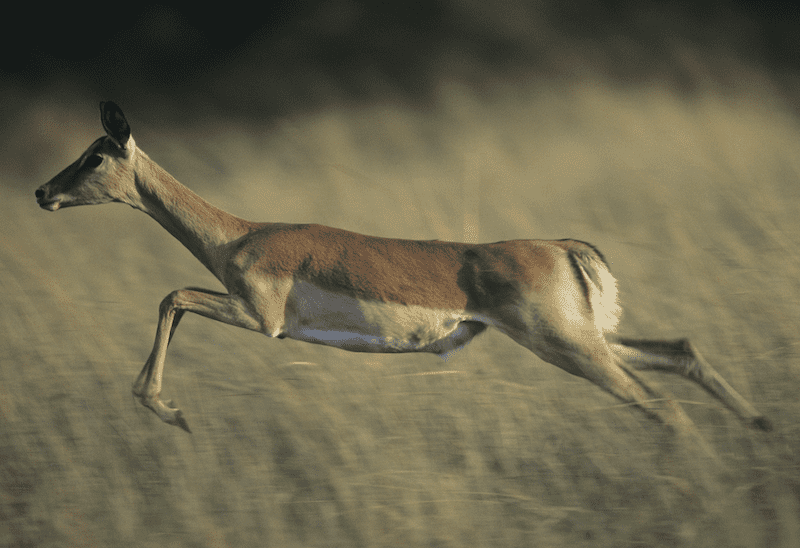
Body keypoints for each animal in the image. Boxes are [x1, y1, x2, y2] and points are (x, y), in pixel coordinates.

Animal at [35, 101, 771, 437]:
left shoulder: (259, 318)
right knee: (679, 352)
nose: (43, 192)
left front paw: (172, 411)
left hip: (566, 346)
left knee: (659, 404)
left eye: (96, 156)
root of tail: (564, 247)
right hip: (587, 339)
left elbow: (171, 296)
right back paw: (761, 427)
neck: (242, 235)